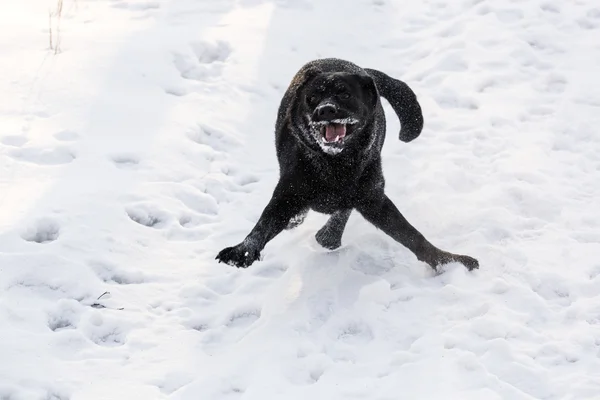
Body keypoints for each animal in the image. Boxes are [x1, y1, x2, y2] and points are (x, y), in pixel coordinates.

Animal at [216, 57, 478, 270]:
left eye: (344, 94)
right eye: (312, 98)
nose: (325, 110)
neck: (334, 164)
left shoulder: (373, 197)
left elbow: (411, 235)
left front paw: (449, 261)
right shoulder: (287, 194)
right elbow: (264, 224)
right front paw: (241, 252)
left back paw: (329, 234)